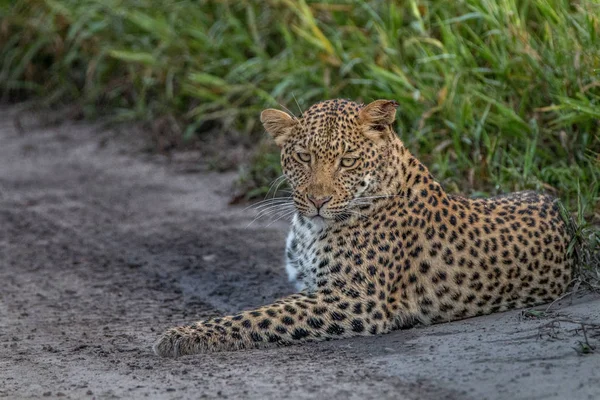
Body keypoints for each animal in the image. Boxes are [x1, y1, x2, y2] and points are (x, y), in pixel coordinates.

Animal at [152, 98, 576, 358]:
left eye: (347, 161)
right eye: (303, 157)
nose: (318, 200)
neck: (308, 229)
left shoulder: (355, 298)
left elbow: (259, 316)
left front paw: (180, 336)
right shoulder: (314, 287)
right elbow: (268, 309)